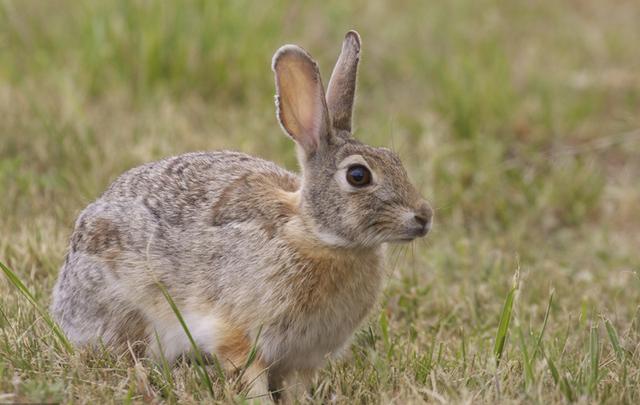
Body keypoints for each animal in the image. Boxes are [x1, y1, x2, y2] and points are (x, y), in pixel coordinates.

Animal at [50, 30, 430, 400]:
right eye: (358, 175)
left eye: (395, 159)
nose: (424, 217)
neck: (315, 234)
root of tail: (64, 297)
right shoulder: (238, 334)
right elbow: (251, 375)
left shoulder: (304, 357)